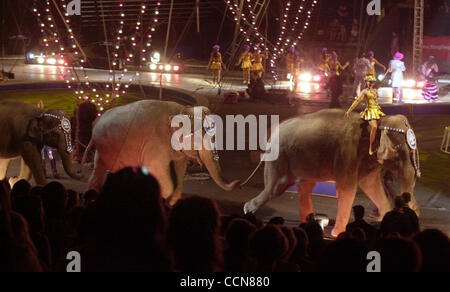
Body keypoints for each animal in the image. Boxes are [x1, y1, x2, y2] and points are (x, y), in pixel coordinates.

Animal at [83, 99, 241, 204]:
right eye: (196, 137)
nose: (238, 183)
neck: (182, 111)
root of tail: (97, 120)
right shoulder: (155, 144)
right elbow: (158, 171)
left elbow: (179, 169)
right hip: (106, 144)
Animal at [243, 109, 422, 237]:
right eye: (401, 153)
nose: (414, 211)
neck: (375, 123)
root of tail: (271, 134)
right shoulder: (347, 153)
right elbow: (347, 189)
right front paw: (338, 233)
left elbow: (371, 186)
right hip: (279, 158)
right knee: (274, 189)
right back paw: (248, 211)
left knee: (305, 189)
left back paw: (306, 221)